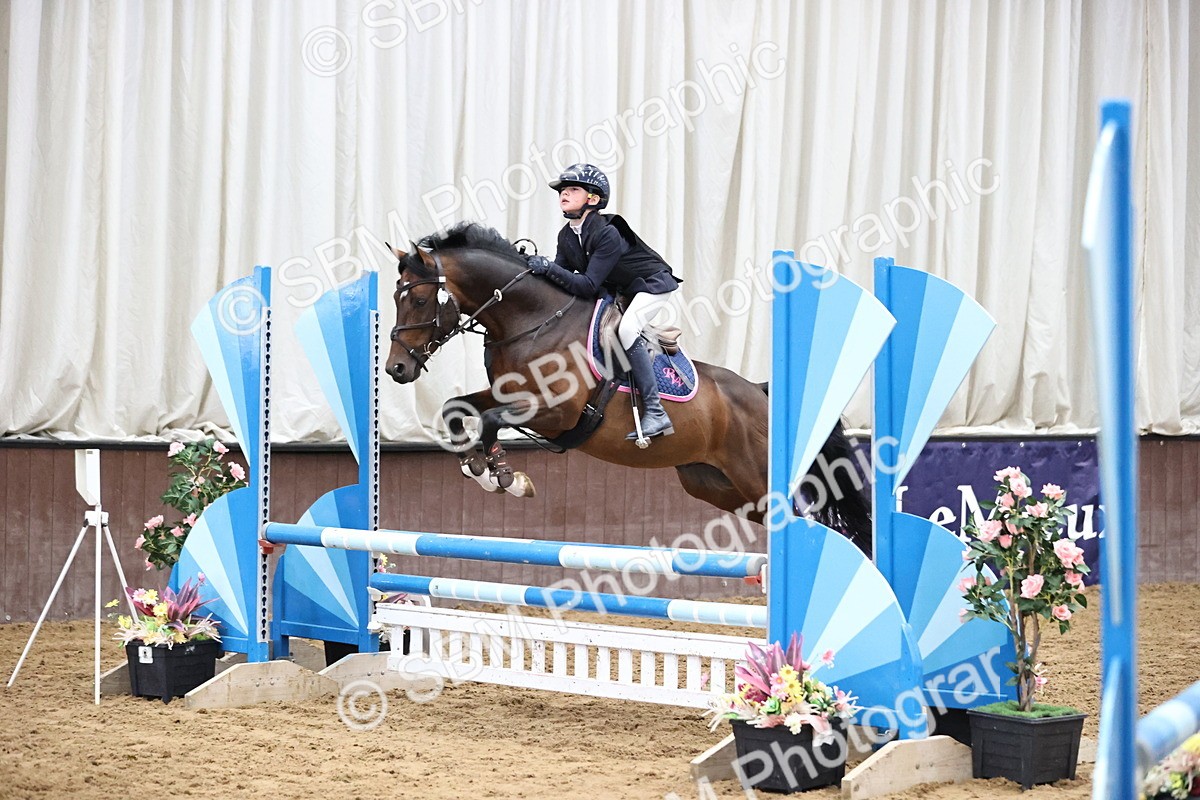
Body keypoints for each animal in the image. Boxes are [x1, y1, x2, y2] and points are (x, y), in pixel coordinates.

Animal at [385, 222, 873, 553]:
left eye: (421, 300)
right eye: (395, 296)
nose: (395, 369)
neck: (530, 321)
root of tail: (760, 392)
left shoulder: (555, 412)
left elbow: (487, 420)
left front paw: (504, 476)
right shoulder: (513, 396)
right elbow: (457, 408)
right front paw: (477, 467)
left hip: (755, 478)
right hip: (715, 484)